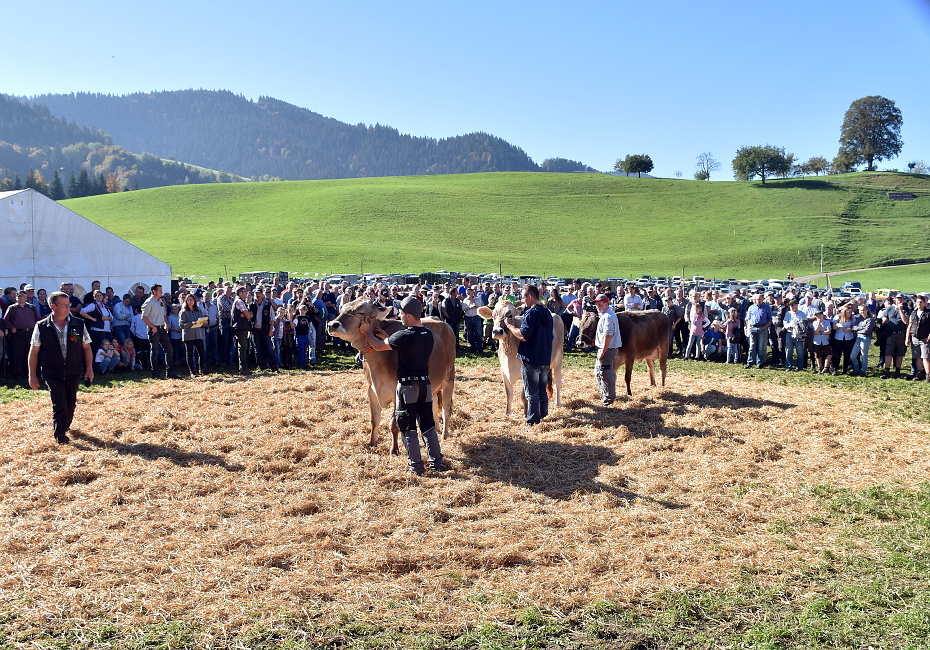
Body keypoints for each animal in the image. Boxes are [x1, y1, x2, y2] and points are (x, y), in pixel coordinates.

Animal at [328, 298, 454, 454]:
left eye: (360, 312)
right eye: (342, 308)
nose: (332, 325)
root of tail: (444, 324)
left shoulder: (397, 393)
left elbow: (394, 424)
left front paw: (394, 450)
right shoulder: (371, 389)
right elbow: (374, 420)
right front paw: (372, 443)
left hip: (449, 377)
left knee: (447, 407)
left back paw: (444, 435)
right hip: (432, 385)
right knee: (434, 402)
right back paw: (435, 428)